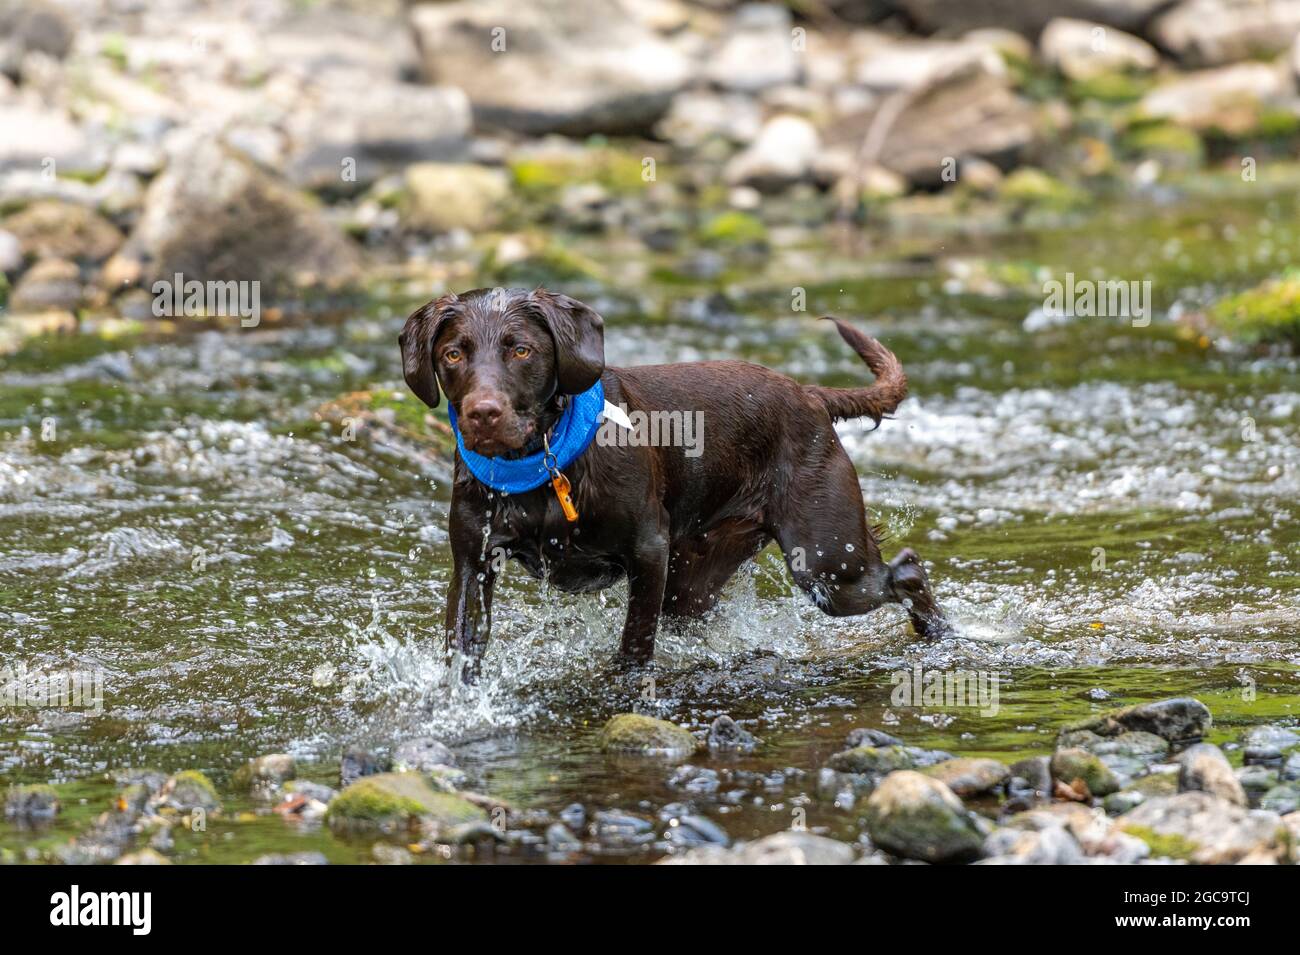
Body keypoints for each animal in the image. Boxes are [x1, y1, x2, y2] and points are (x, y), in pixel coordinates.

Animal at [395, 283, 946, 680]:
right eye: (453, 354)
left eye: (522, 351)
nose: (482, 414)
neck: (541, 465)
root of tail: (809, 394)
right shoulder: (472, 563)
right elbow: (463, 649)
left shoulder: (648, 551)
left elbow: (636, 641)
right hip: (697, 582)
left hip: (827, 564)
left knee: (907, 573)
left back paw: (939, 634)